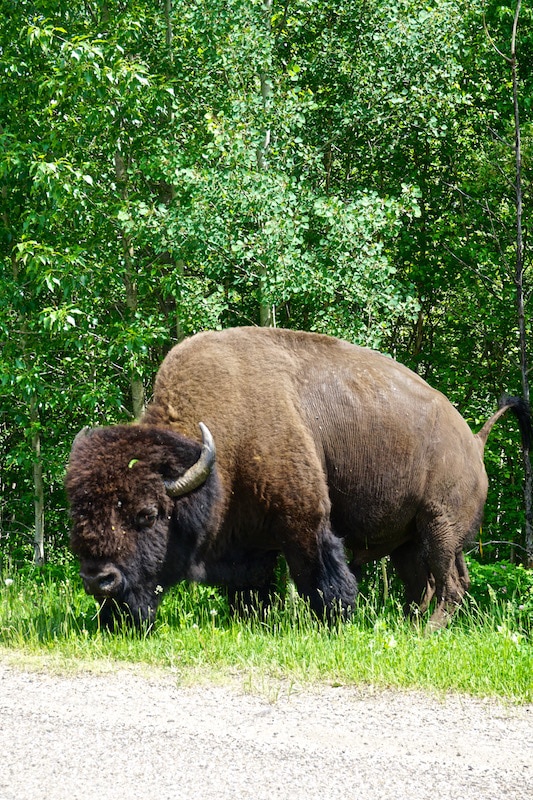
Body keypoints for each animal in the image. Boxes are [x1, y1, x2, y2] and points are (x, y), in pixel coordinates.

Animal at [64, 324, 528, 632]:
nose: (99, 580)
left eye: (147, 514)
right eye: (78, 513)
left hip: (439, 527)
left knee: (451, 583)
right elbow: (252, 590)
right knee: (424, 585)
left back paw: (424, 633)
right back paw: (409, 627)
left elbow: (319, 578)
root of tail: (473, 440)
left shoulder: (305, 522)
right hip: (411, 541)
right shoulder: (248, 543)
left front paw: (334, 625)